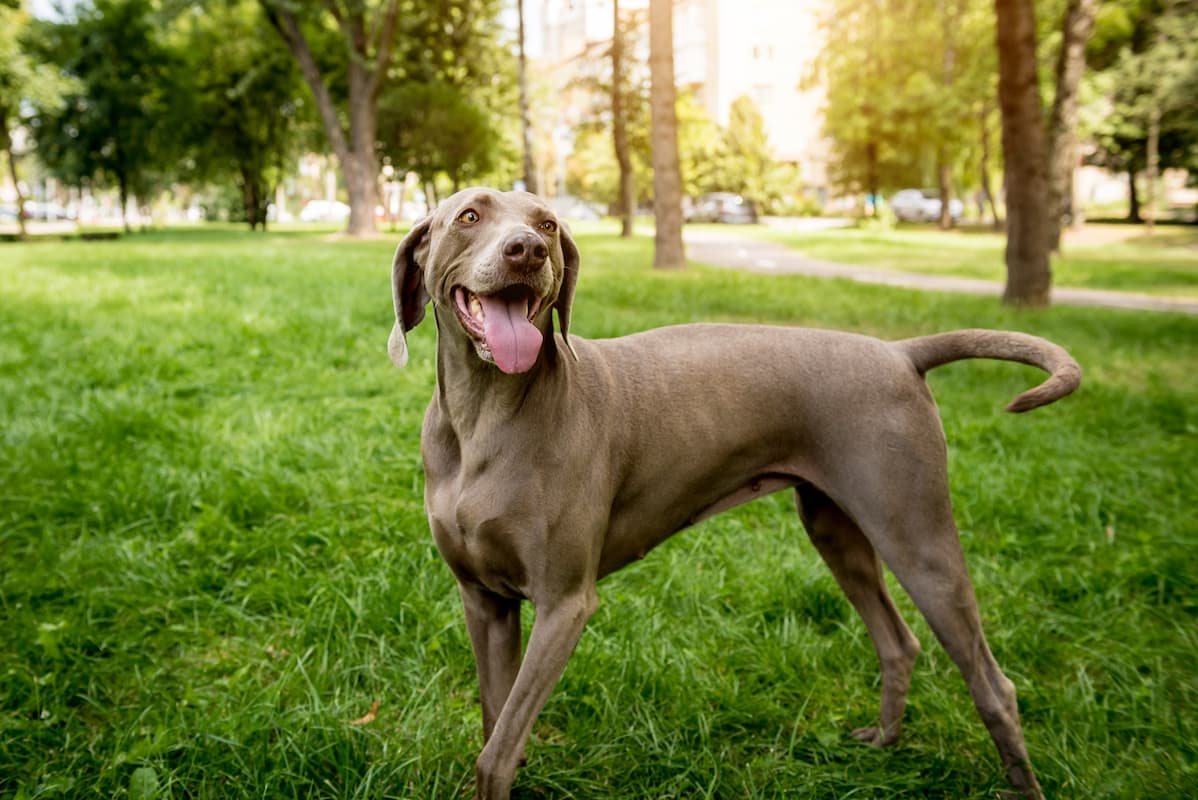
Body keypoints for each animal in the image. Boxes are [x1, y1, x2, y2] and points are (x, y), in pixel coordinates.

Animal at [388, 185, 1082, 795]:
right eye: (470, 215)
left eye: (549, 224)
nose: (527, 249)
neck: (485, 417)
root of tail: (899, 352)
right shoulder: (484, 601)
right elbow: (495, 719)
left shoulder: (563, 605)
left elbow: (497, 752)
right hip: (834, 529)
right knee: (898, 641)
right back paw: (884, 741)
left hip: (917, 536)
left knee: (992, 682)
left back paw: (1021, 785)